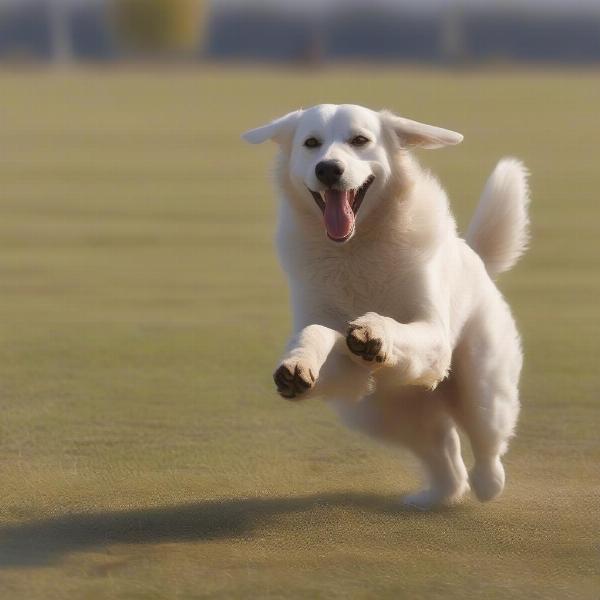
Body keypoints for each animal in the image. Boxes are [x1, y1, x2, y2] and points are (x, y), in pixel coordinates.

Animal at [243, 104, 528, 510]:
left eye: (360, 140)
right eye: (311, 143)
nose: (328, 169)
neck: (355, 249)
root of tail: (479, 260)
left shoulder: (433, 335)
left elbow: (393, 326)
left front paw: (374, 332)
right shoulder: (346, 367)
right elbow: (315, 332)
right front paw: (298, 365)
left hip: (482, 390)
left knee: (486, 446)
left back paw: (487, 483)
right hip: (381, 414)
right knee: (444, 452)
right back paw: (434, 498)